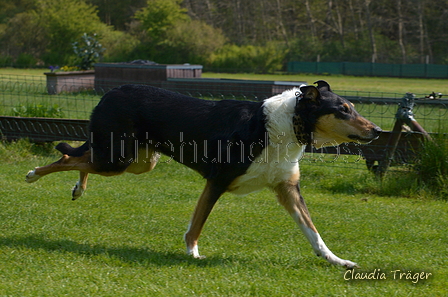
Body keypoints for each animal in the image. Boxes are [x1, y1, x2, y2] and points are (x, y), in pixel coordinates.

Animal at [26, 80, 380, 268]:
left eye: (353, 108)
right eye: (343, 110)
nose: (377, 131)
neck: (286, 126)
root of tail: (111, 91)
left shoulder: (287, 189)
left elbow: (314, 233)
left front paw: (338, 261)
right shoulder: (217, 181)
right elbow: (197, 223)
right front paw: (192, 253)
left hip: (136, 162)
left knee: (80, 157)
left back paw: (78, 188)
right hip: (118, 159)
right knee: (69, 158)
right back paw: (34, 174)